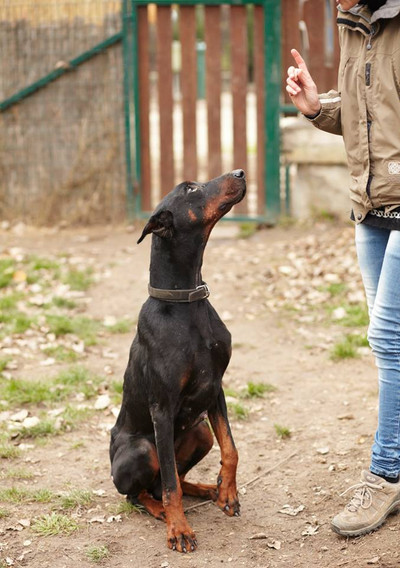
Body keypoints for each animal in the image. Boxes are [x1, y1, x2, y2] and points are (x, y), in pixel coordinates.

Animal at [110, 169, 247, 552]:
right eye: (191, 189)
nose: (240, 172)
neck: (185, 302)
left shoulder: (215, 388)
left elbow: (231, 448)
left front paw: (227, 492)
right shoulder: (162, 407)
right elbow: (170, 485)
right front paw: (179, 530)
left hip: (199, 431)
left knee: (171, 480)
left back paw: (207, 488)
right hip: (142, 449)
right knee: (145, 492)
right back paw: (160, 511)